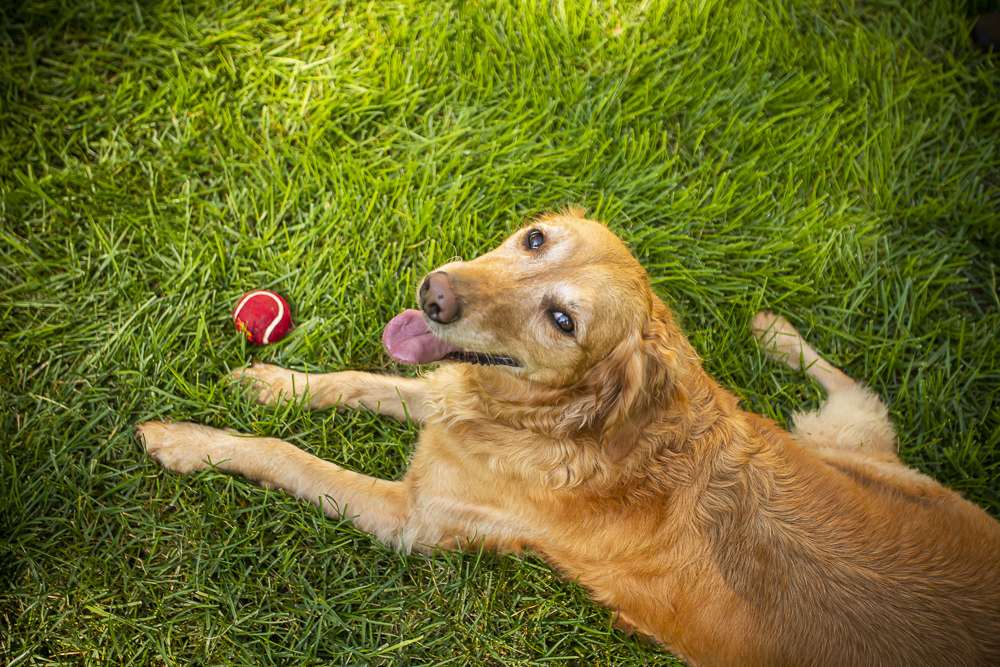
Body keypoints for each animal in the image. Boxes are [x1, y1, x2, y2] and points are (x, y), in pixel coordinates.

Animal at [139, 210, 1000, 667]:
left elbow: (288, 454)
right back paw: (774, 332)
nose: (434, 292)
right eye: (533, 237)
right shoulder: (446, 411)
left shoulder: (410, 518)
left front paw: (185, 439)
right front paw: (271, 383)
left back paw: (775, 333)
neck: (560, 421)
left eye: (562, 319)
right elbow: (356, 380)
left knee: (862, 392)